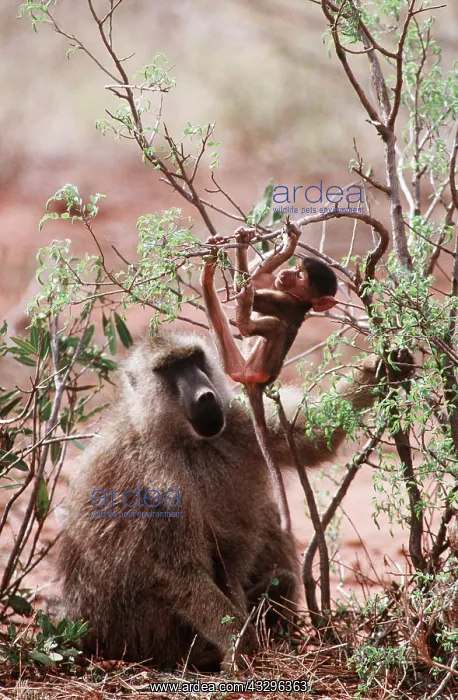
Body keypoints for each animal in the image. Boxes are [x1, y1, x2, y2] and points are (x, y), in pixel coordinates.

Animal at [57, 330, 412, 670]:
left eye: (194, 359)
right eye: (169, 369)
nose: (205, 395)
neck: (185, 440)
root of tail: (89, 633)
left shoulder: (239, 422)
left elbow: (313, 436)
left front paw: (380, 367)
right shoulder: (156, 484)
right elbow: (180, 575)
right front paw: (243, 646)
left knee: (276, 574)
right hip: (139, 635)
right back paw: (204, 656)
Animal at [200, 221, 338, 532]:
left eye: (300, 276)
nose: (286, 273)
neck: (299, 301)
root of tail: (258, 383)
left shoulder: (284, 302)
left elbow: (257, 293)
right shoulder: (277, 288)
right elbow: (259, 275)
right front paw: (275, 246)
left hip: (249, 367)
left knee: (267, 326)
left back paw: (238, 309)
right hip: (237, 362)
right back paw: (208, 275)